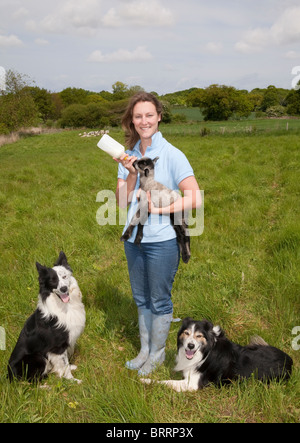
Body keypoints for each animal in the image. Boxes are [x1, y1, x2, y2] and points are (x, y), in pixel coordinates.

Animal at [7, 253, 86, 386]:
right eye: (53, 280)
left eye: (64, 276)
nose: (64, 289)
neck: (64, 306)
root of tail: (9, 375)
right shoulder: (58, 347)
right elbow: (64, 365)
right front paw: (73, 381)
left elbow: (65, 364)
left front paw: (70, 368)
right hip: (38, 358)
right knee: (32, 382)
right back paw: (46, 386)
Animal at [141, 320, 292, 392]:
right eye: (186, 333)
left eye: (199, 336)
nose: (190, 346)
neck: (205, 352)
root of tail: (290, 361)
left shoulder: (192, 384)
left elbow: (166, 382)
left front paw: (145, 381)